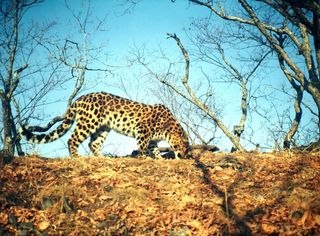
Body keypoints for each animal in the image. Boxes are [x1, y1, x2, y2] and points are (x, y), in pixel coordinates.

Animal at [19, 91, 190, 159]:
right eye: (185, 146)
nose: (184, 156)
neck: (169, 129)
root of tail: (79, 99)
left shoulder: (152, 139)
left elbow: (154, 149)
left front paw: (158, 159)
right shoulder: (143, 130)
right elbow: (143, 147)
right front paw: (143, 157)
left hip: (102, 128)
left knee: (93, 143)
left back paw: (101, 157)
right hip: (88, 122)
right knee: (72, 139)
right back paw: (76, 156)